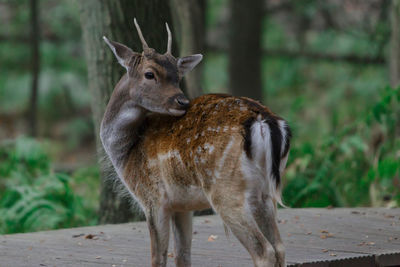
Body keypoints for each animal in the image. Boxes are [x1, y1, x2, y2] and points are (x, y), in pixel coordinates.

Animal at [101, 18, 290, 267]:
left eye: (177, 76)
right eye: (150, 74)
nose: (182, 101)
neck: (127, 152)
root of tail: (264, 121)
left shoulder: (152, 198)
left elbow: (158, 257)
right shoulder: (181, 205)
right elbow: (182, 255)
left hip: (225, 189)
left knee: (264, 250)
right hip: (265, 193)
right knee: (279, 247)